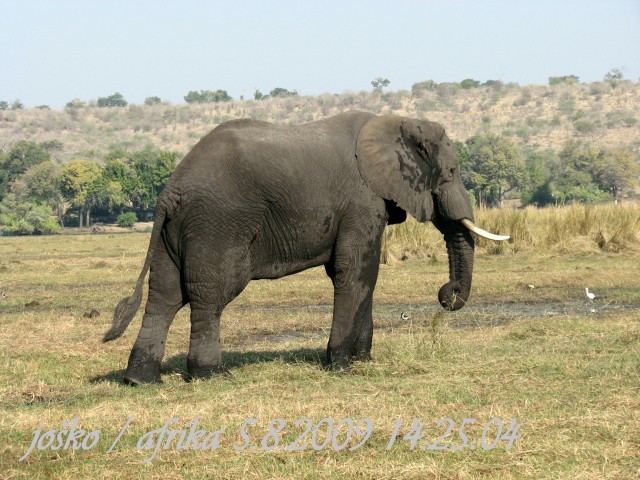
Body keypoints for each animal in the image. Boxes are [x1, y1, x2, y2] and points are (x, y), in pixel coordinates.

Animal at [102, 110, 508, 384]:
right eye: (452, 172)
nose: (446, 294)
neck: (396, 120)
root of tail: (171, 189)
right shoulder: (361, 199)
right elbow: (355, 269)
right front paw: (341, 365)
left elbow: (365, 274)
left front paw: (362, 361)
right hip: (217, 222)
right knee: (209, 294)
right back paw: (211, 375)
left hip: (176, 231)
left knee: (164, 294)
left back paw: (139, 379)